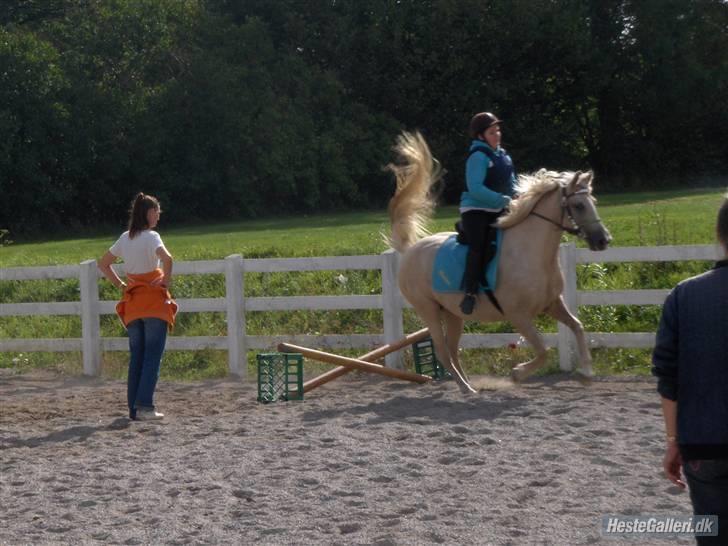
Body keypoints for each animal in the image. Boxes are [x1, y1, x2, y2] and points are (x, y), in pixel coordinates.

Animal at [390, 134, 612, 394]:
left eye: (593, 201)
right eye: (578, 206)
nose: (603, 240)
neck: (534, 254)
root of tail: (410, 250)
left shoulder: (552, 304)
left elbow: (577, 326)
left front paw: (586, 373)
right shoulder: (518, 315)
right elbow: (544, 351)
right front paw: (517, 373)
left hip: (453, 314)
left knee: (452, 351)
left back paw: (469, 386)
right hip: (429, 311)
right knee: (444, 352)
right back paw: (466, 389)